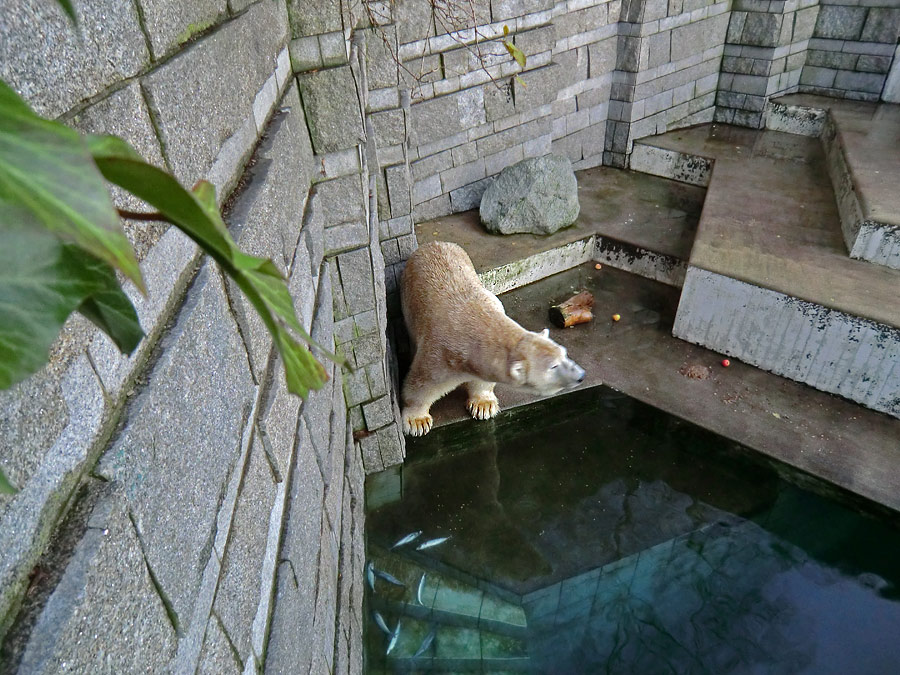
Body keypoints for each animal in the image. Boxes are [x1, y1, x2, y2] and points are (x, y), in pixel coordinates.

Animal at [400, 243, 584, 438]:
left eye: (565, 354)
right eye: (553, 366)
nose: (581, 376)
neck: (475, 320)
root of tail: (433, 243)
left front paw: (483, 405)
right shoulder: (439, 354)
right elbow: (421, 385)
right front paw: (417, 421)